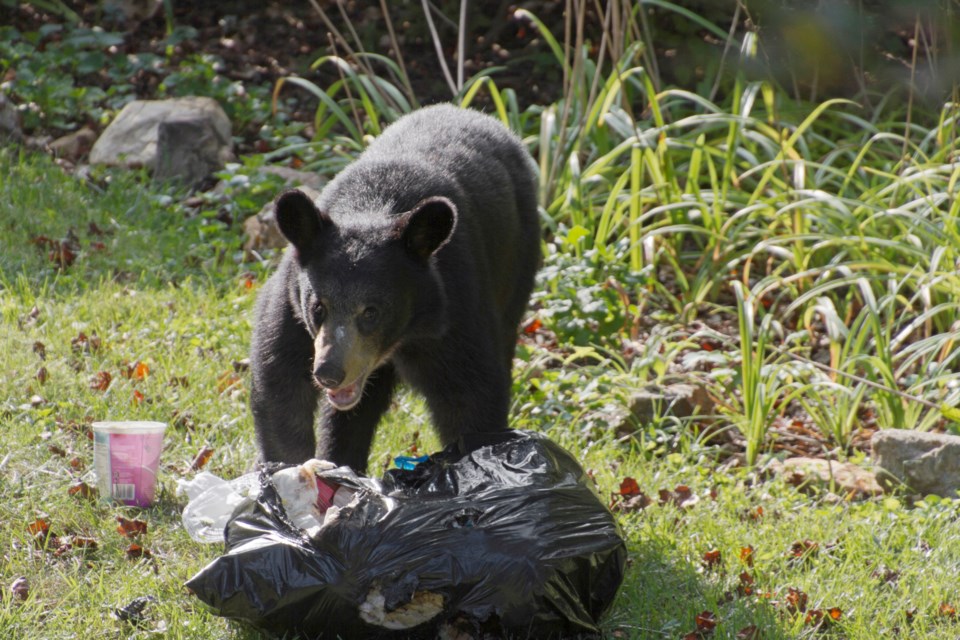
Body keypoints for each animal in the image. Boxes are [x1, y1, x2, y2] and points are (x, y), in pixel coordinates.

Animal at [249, 105, 540, 470]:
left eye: (371, 312)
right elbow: (281, 388)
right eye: (318, 307)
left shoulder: (453, 310)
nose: (328, 372)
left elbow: (470, 397)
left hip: (518, 266)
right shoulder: (291, 311)